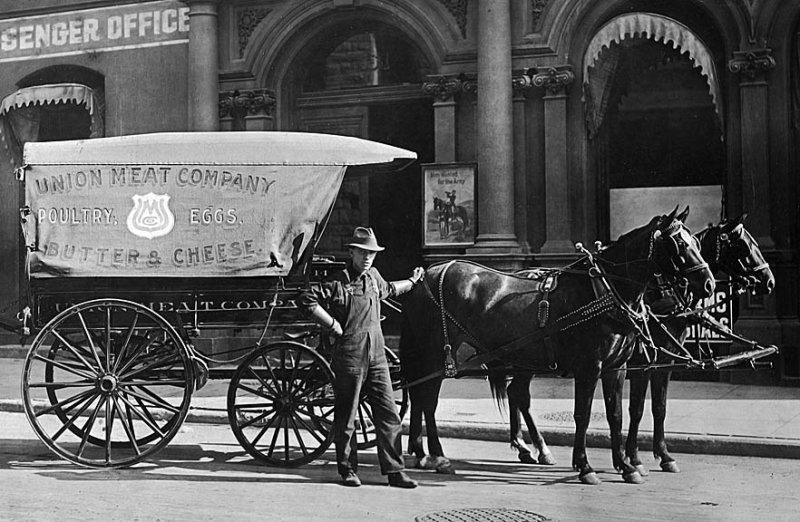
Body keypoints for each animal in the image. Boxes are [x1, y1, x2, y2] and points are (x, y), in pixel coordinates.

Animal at [400, 208, 712, 484]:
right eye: (679, 243)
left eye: (698, 243)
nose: (708, 284)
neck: (603, 293)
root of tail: (427, 274)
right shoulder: (591, 367)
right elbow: (584, 415)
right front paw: (586, 466)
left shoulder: (619, 367)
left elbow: (618, 415)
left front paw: (626, 465)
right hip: (436, 353)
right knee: (427, 401)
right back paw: (438, 456)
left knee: (434, 397)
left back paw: (423, 452)